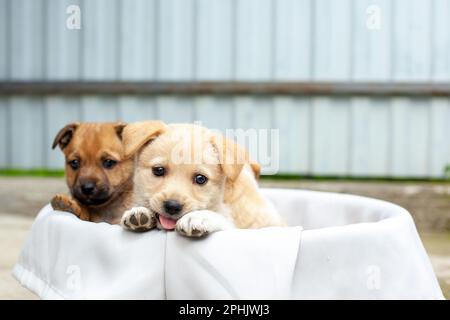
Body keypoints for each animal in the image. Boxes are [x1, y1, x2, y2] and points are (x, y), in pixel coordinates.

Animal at [119, 121, 282, 236]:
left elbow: (226, 223)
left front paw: (201, 217)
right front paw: (141, 212)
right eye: (158, 170)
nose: (172, 206)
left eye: (200, 179)